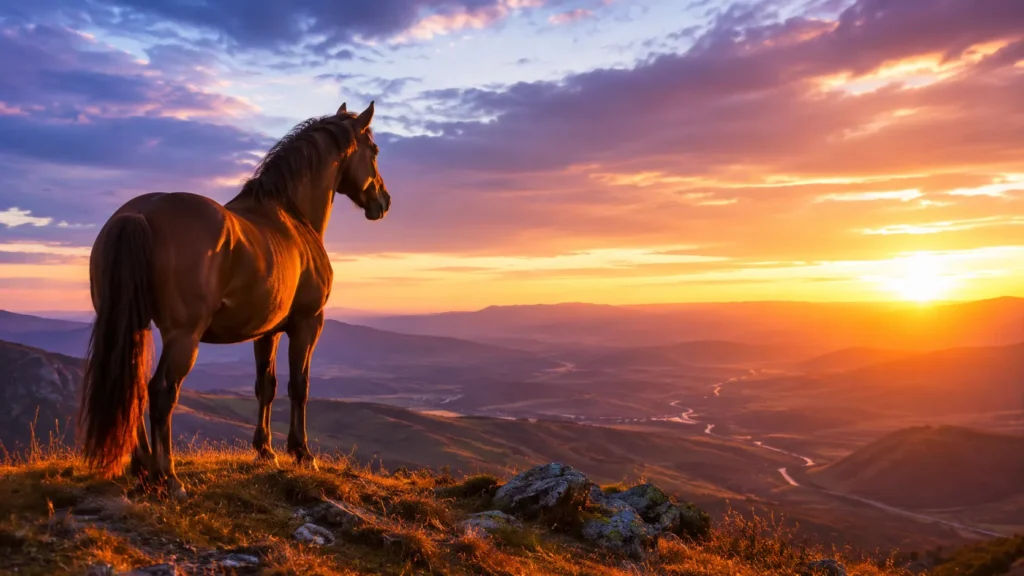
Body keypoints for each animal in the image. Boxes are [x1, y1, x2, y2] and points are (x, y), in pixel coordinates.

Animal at [77, 101, 390, 500]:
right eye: (374, 151)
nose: (384, 201)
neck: (292, 216)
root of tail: (138, 214)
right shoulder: (308, 322)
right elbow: (299, 386)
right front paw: (302, 453)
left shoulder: (267, 331)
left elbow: (266, 386)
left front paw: (265, 451)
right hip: (184, 337)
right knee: (161, 392)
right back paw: (169, 478)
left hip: (133, 327)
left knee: (134, 390)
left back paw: (143, 471)